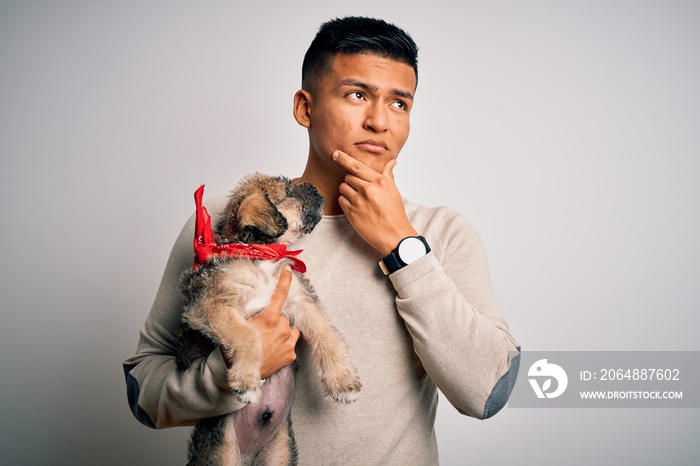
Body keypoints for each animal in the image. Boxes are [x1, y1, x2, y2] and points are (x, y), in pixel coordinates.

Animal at [176, 174, 360, 466]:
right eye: (288, 192)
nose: (314, 188)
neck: (260, 255)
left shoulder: (301, 301)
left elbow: (327, 334)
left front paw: (343, 380)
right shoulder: (209, 305)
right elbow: (247, 334)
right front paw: (247, 381)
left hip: (279, 452)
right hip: (222, 454)